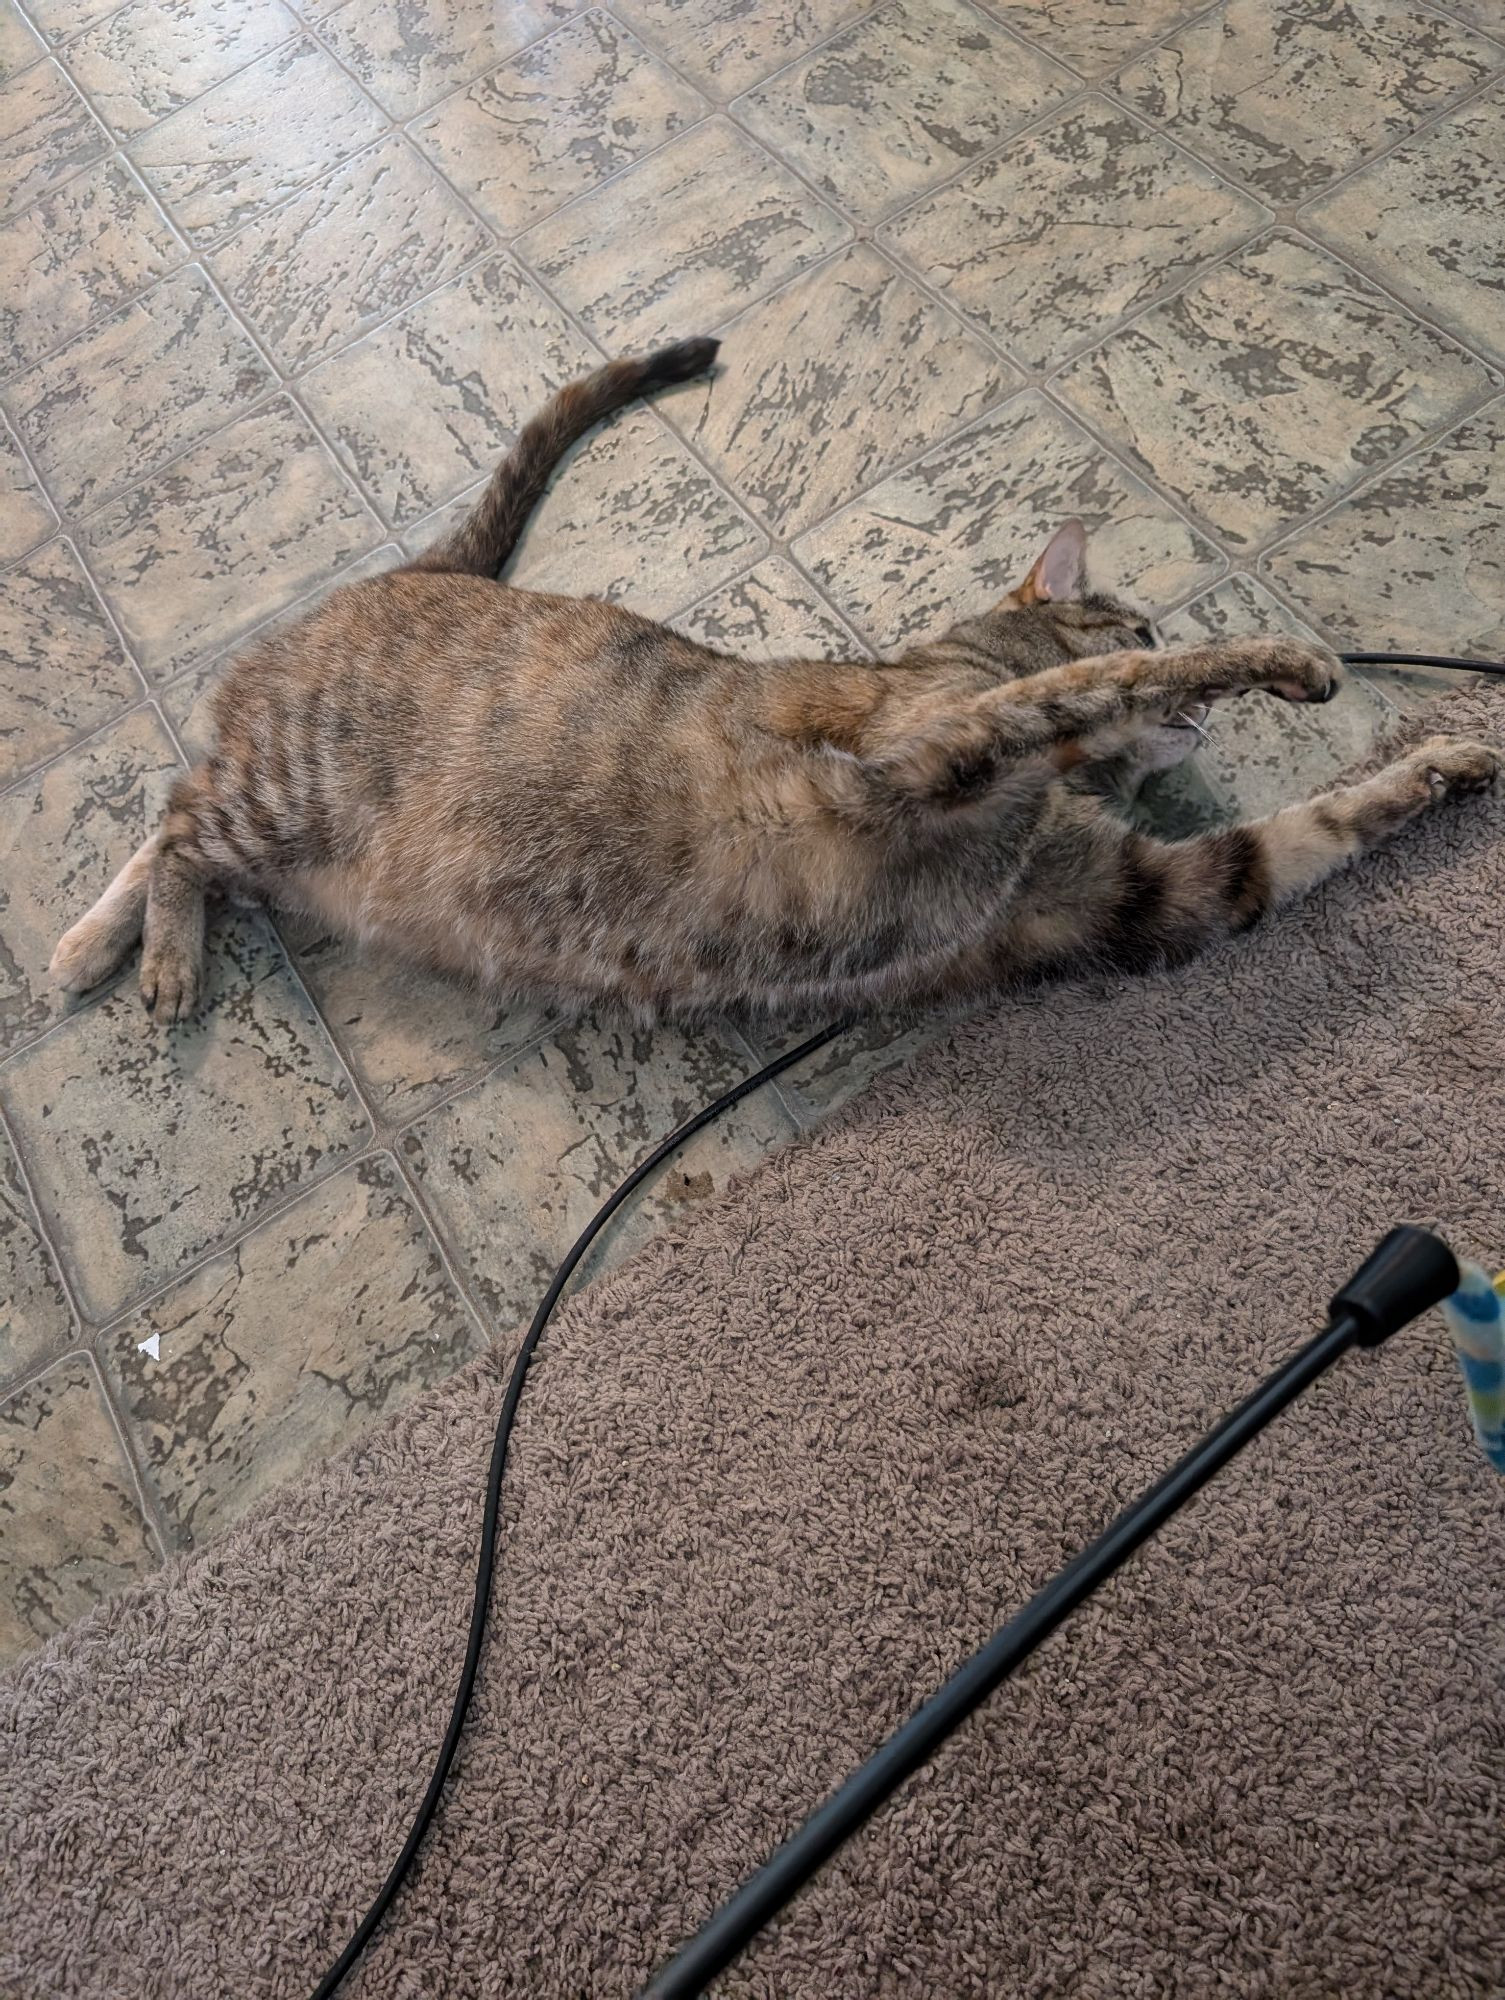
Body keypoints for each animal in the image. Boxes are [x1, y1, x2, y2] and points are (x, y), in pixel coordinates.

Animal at [50, 338, 1496, 1024]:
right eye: (1132, 614)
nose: (1189, 725)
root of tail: (418, 567)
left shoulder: (1137, 900)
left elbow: (1312, 832)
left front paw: (1445, 761)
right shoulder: (932, 753)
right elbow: (1090, 688)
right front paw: (1278, 664)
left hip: (281, 803)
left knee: (173, 806)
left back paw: (88, 943)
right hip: (290, 786)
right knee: (178, 819)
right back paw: (152, 955)